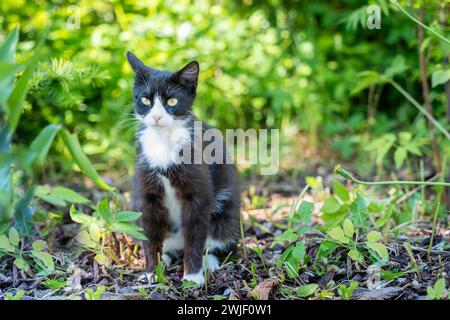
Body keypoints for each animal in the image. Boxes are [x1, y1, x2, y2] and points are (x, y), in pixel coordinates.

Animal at [126, 51, 241, 284]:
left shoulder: (198, 193)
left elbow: (196, 232)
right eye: (145, 100)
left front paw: (193, 276)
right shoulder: (146, 193)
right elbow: (149, 232)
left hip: (227, 212)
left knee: (221, 238)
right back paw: (166, 256)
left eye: (172, 100)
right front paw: (151, 272)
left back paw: (209, 260)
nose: (157, 117)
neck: (164, 140)